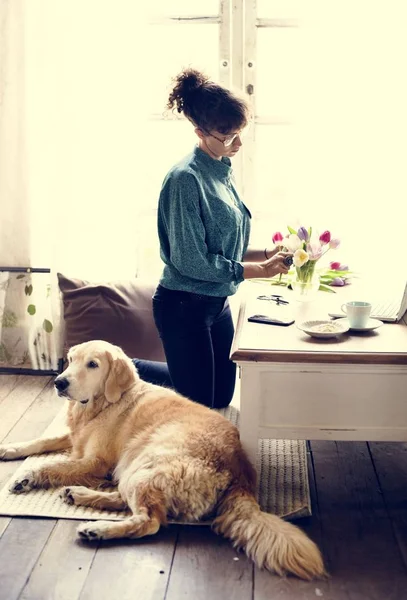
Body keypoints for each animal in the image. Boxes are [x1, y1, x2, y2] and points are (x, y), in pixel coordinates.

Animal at [0, 340, 326, 580]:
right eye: (70, 359)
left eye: (92, 364)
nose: (59, 382)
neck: (101, 403)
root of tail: (241, 472)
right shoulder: (77, 439)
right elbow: (42, 442)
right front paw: (11, 448)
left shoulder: (96, 461)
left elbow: (54, 465)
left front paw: (26, 477)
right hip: (136, 468)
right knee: (126, 500)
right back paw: (78, 495)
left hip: (145, 463)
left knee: (149, 520)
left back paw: (97, 528)